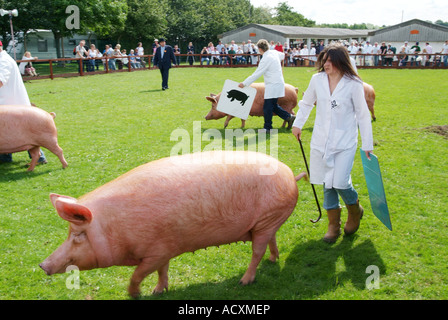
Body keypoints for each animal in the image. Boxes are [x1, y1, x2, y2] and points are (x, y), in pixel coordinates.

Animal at [40, 151, 306, 298]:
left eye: (77, 235)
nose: (43, 265)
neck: (115, 226)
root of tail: (291, 175)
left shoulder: (155, 252)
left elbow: (138, 275)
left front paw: (135, 295)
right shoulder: (164, 246)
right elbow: (162, 271)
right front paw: (159, 291)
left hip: (267, 219)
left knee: (256, 251)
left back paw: (244, 281)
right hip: (266, 222)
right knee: (271, 240)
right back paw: (272, 260)